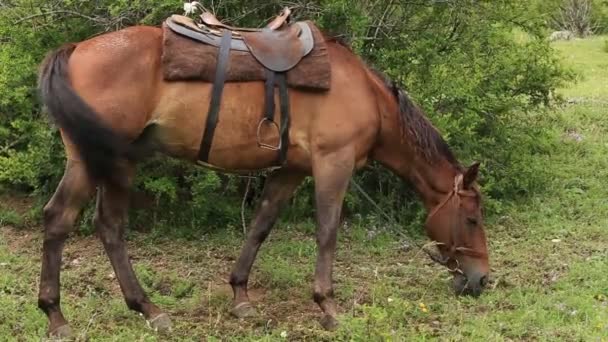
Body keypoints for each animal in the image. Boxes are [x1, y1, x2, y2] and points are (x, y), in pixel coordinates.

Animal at [36, 22, 490, 340]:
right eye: (472, 219)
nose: (481, 279)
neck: (368, 97)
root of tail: (76, 50)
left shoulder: (290, 170)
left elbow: (260, 226)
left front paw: (240, 295)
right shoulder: (333, 163)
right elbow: (327, 232)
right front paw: (327, 306)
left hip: (111, 161)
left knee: (102, 225)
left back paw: (141, 310)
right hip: (96, 160)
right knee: (66, 220)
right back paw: (62, 316)